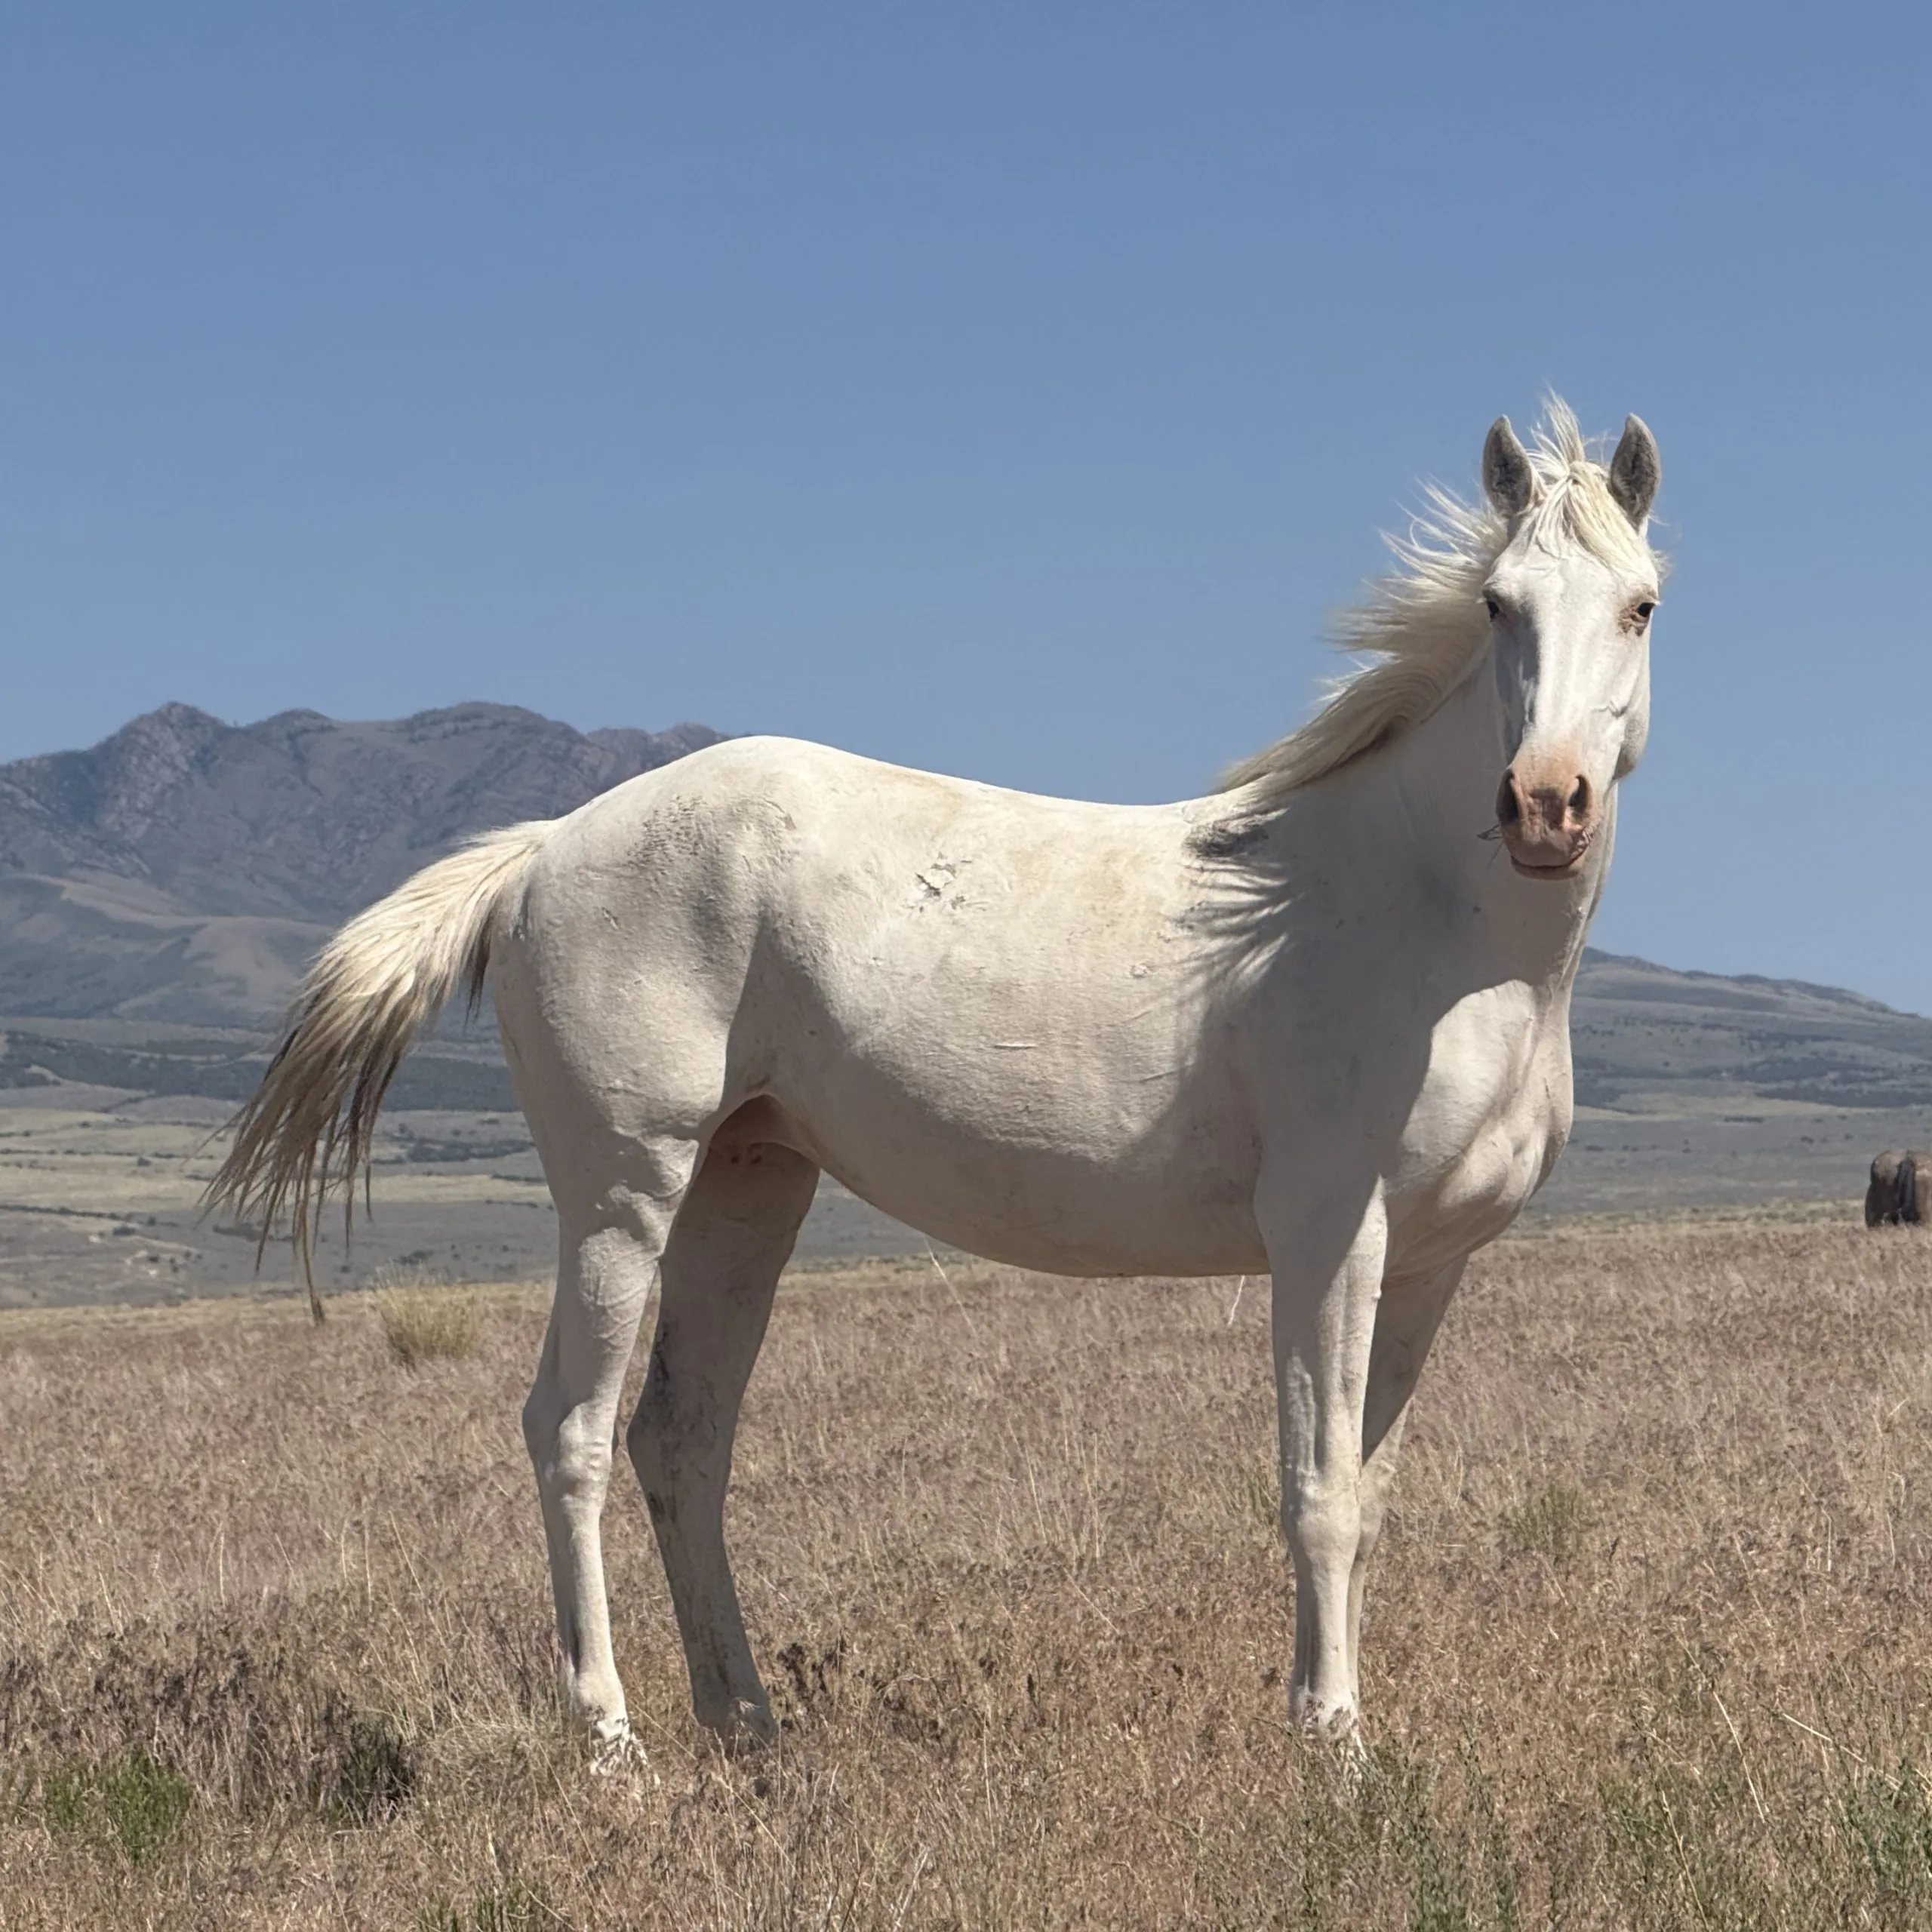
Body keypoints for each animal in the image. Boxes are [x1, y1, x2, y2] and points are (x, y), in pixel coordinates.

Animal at [207, 401, 1663, 1756]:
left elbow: (1368, 1494)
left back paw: (748, 1724)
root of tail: (548, 845)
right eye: (1497, 605)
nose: (1546, 806)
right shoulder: (1326, 1241)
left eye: (1641, 605)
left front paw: (1332, 1714)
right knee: (567, 1431)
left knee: (679, 1440)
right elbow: (1315, 1491)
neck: (1423, 920)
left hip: (748, 1189)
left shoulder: (1427, 1264)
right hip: (623, 1202)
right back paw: (612, 1743)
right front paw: (1333, 1746)